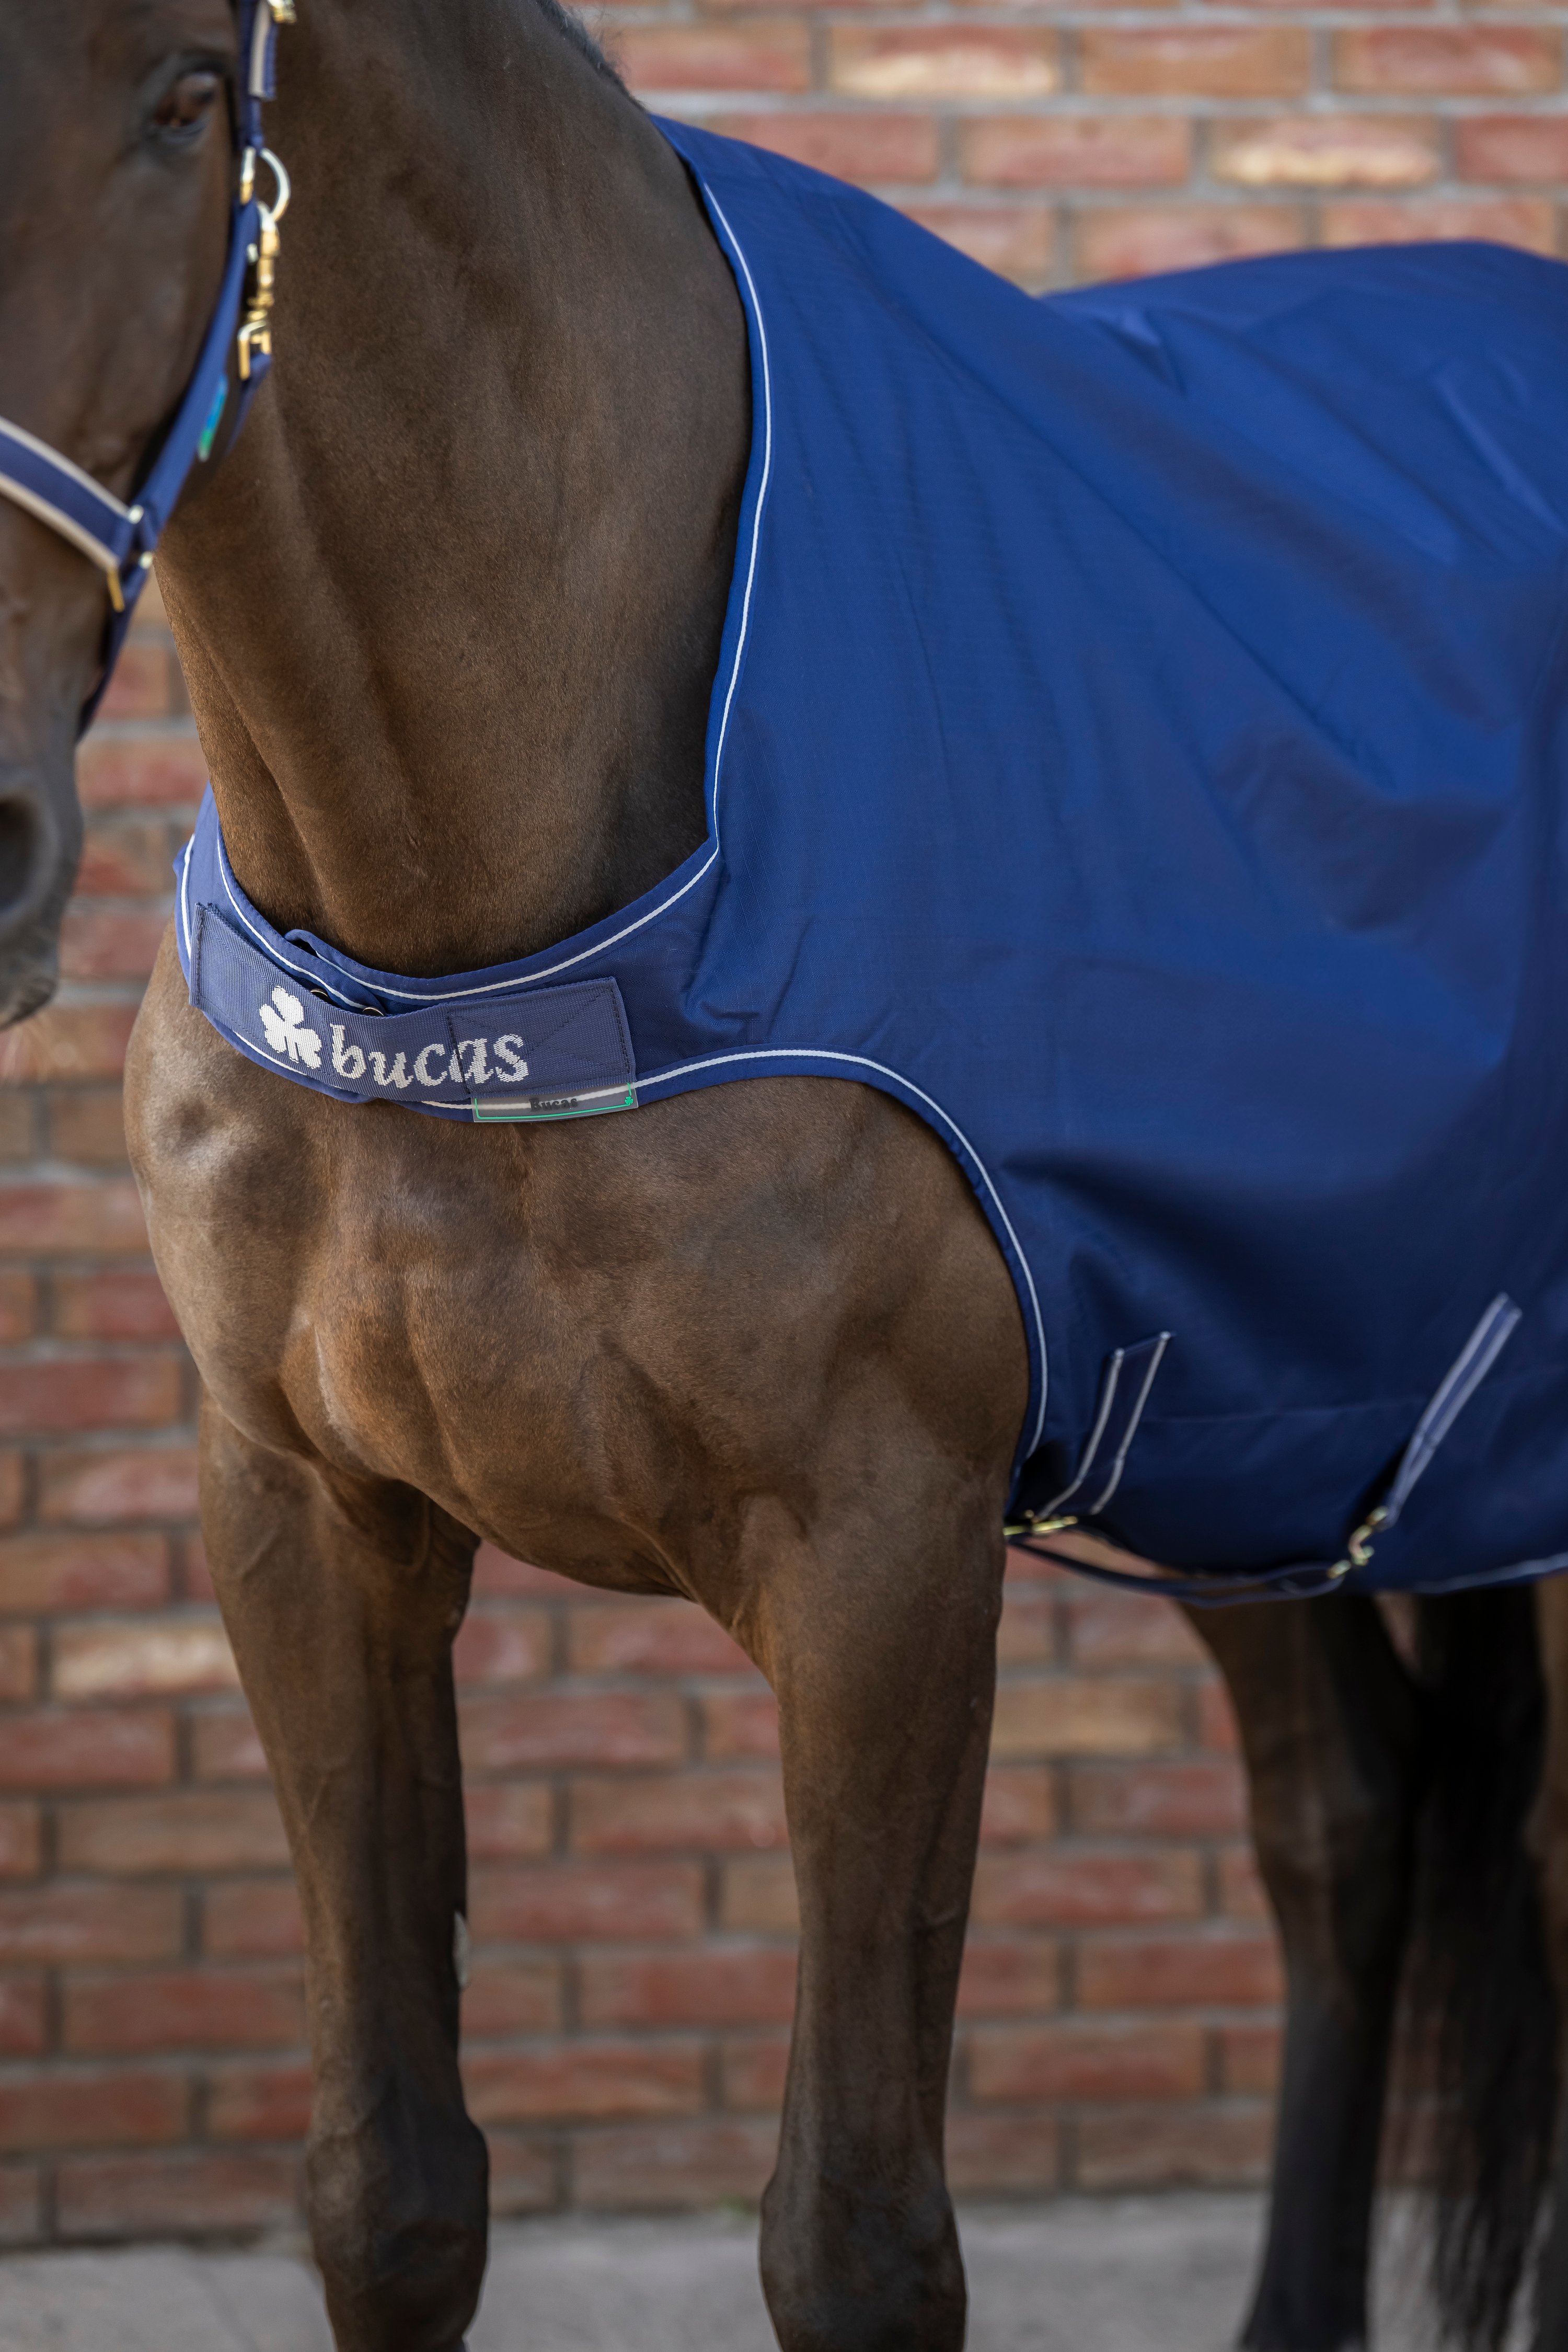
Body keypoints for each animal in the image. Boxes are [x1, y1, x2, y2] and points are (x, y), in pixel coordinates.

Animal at [7, 4, 1568, 2351]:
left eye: (193, 94)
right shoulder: (303, 1507)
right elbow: (393, 2188)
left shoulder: (882, 1552)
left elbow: (857, 2233)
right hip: (1253, 1407)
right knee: (1349, 1821)